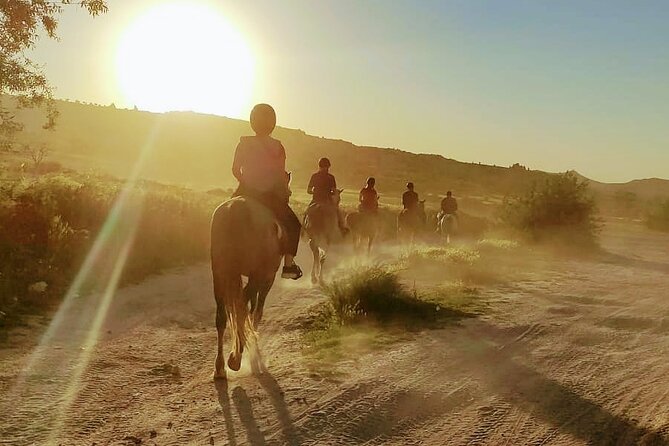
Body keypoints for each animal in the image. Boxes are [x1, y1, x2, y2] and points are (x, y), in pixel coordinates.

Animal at [209, 172, 290, 378]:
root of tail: (234, 212)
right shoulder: (267, 277)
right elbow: (257, 311)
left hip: (220, 273)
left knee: (222, 316)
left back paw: (220, 367)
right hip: (256, 275)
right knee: (242, 308)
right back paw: (235, 358)